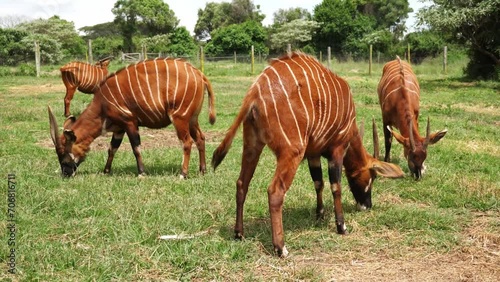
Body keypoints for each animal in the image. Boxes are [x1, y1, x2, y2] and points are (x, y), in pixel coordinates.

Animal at [47, 57, 216, 178]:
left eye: (63, 154)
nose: (66, 173)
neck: (102, 104)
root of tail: (199, 74)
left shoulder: (130, 123)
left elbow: (136, 148)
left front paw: (141, 173)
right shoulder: (119, 129)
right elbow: (112, 149)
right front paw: (106, 171)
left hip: (180, 118)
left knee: (187, 142)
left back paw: (183, 174)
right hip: (192, 119)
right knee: (200, 138)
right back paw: (202, 171)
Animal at [211, 51, 402, 256]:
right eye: (372, 177)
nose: (367, 205)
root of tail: (255, 92)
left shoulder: (313, 155)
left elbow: (318, 183)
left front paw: (320, 215)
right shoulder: (337, 150)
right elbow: (336, 187)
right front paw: (341, 226)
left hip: (252, 146)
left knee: (241, 183)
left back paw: (239, 233)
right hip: (291, 152)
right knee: (275, 191)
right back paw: (281, 248)